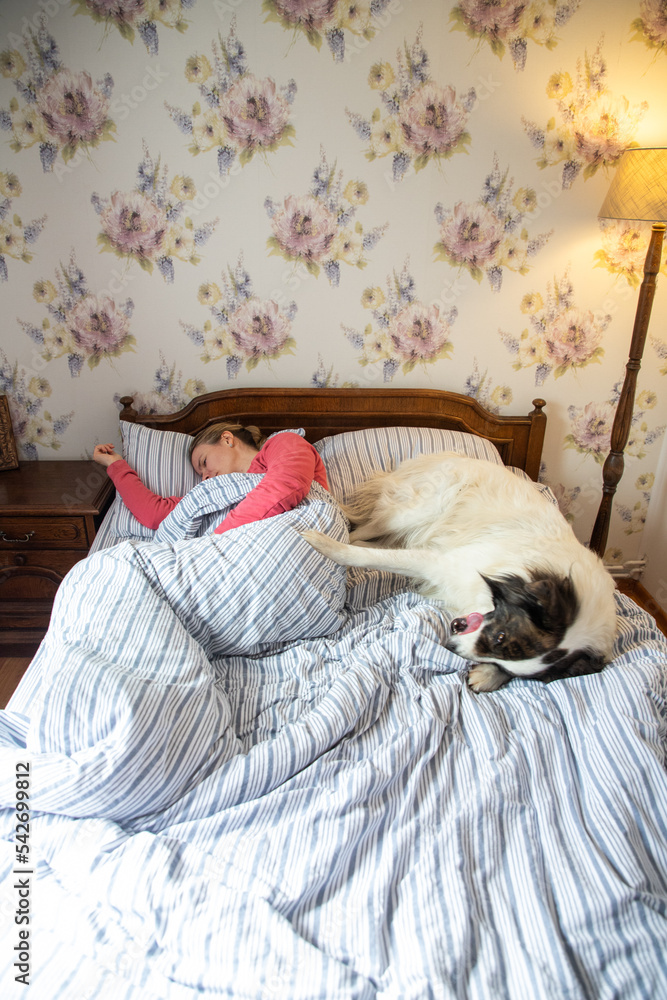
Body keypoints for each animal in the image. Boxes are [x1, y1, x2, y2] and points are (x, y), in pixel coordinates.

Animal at [302, 456, 616, 696]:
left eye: (505, 659)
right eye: (501, 636)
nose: (451, 647)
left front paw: (488, 676)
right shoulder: (443, 562)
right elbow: (367, 556)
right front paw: (324, 545)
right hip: (411, 514)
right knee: (359, 534)